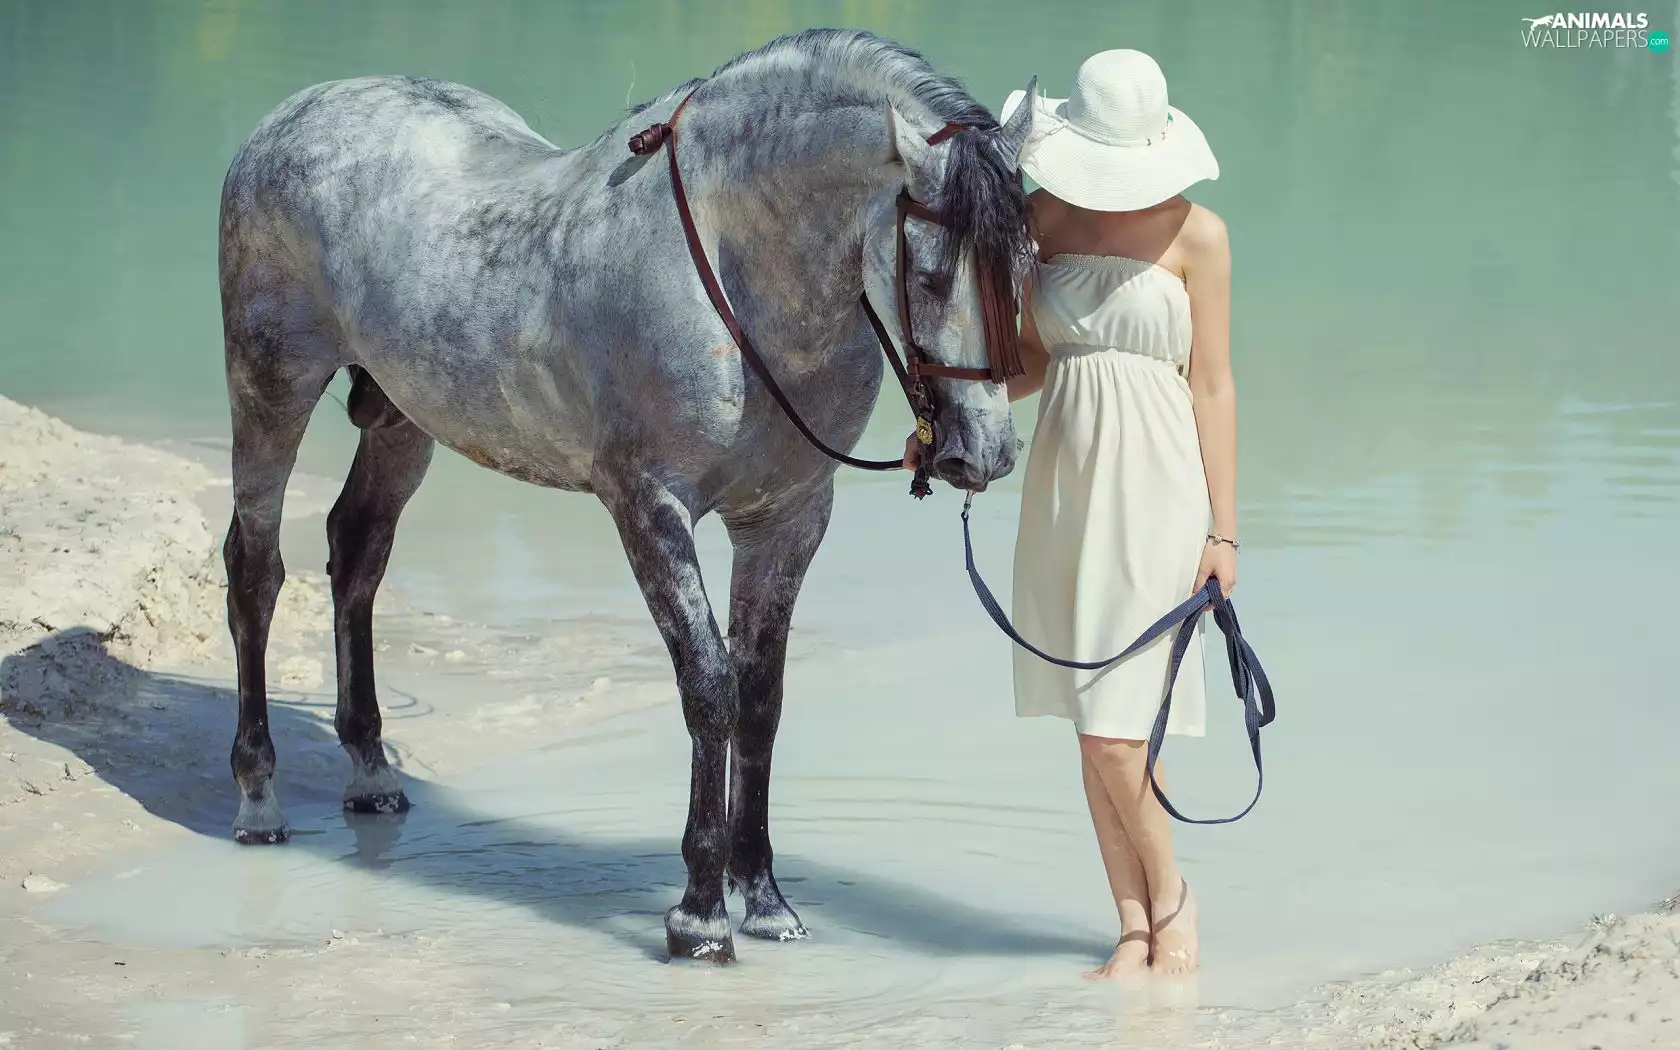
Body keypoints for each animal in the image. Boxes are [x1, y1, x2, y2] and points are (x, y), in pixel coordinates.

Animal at [217, 28, 1037, 963]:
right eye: (930, 275)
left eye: (1024, 266)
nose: (987, 452)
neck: (732, 274)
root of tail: (293, 116)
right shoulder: (650, 510)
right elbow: (709, 689)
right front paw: (700, 916)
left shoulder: (787, 520)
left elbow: (760, 699)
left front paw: (766, 901)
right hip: (270, 391)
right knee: (255, 573)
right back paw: (257, 799)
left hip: (401, 421)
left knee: (356, 555)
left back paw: (371, 772)